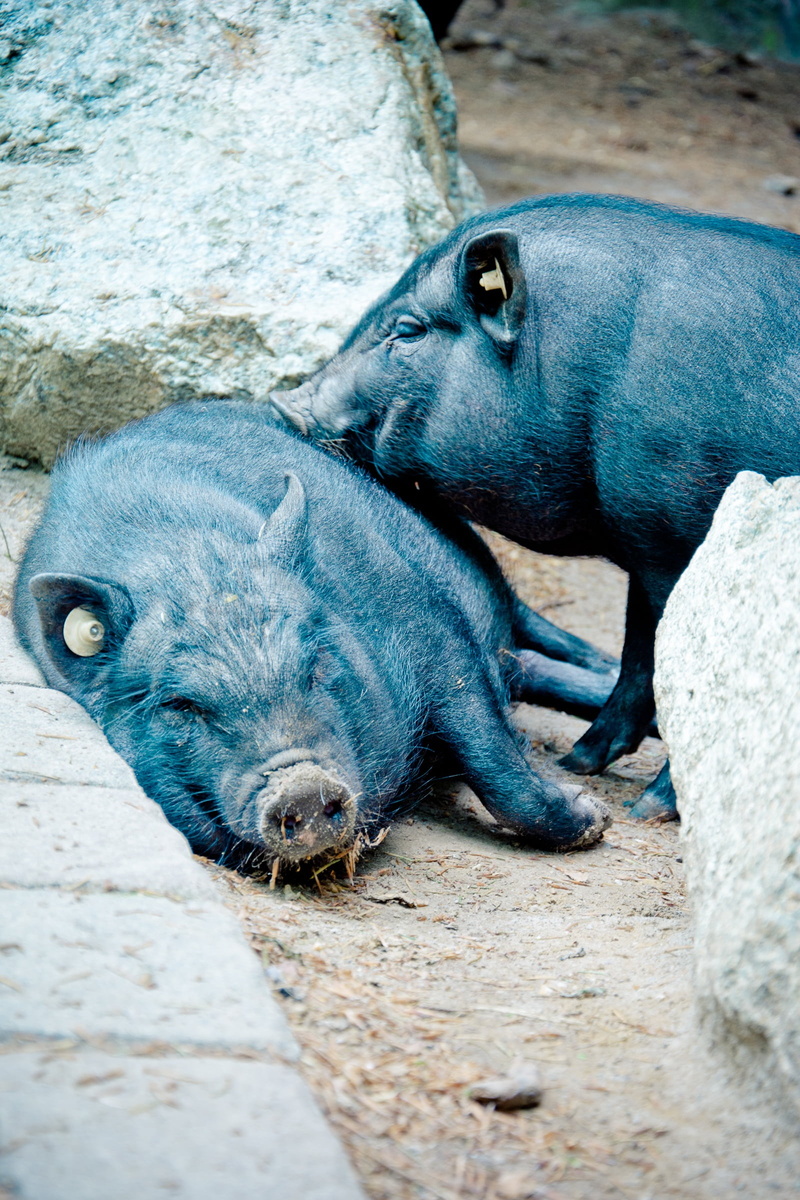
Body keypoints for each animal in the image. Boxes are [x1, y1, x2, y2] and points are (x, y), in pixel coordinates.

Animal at [13, 400, 615, 870]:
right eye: (182, 705)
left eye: (315, 666)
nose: (301, 785)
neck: (186, 562)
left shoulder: (430, 624)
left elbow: (486, 743)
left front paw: (596, 818)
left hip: (482, 566)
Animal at [271, 192, 800, 821]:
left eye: (407, 329)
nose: (281, 404)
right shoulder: (645, 537)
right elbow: (640, 651)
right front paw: (579, 763)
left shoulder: (682, 540)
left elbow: (688, 666)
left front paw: (643, 810)